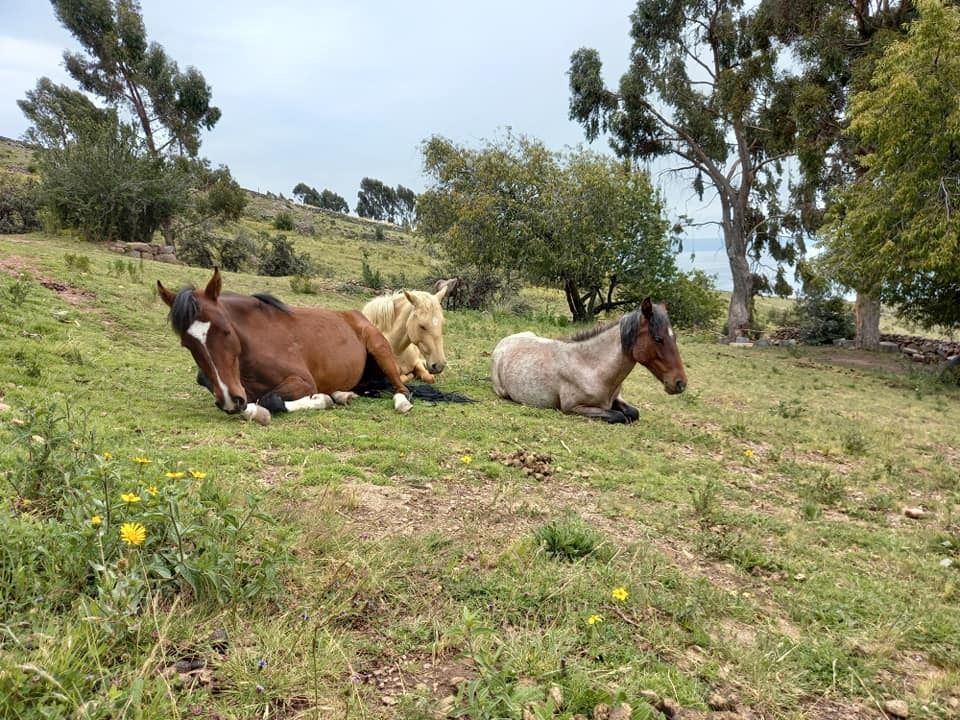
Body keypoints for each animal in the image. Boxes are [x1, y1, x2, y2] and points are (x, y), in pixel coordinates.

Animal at [157, 269, 414, 424]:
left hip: (381, 351)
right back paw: (343, 394)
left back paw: (400, 403)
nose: (231, 400)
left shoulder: (303, 382)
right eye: (187, 344)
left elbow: (269, 399)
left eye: (226, 331)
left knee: (401, 389)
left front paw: (320, 400)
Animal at [490, 298, 687, 423]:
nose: (680, 383)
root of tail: (503, 342)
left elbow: (633, 412)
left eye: (675, 337)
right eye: (658, 338)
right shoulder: (574, 407)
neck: (590, 368)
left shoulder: (616, 398)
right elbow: (619, 416)